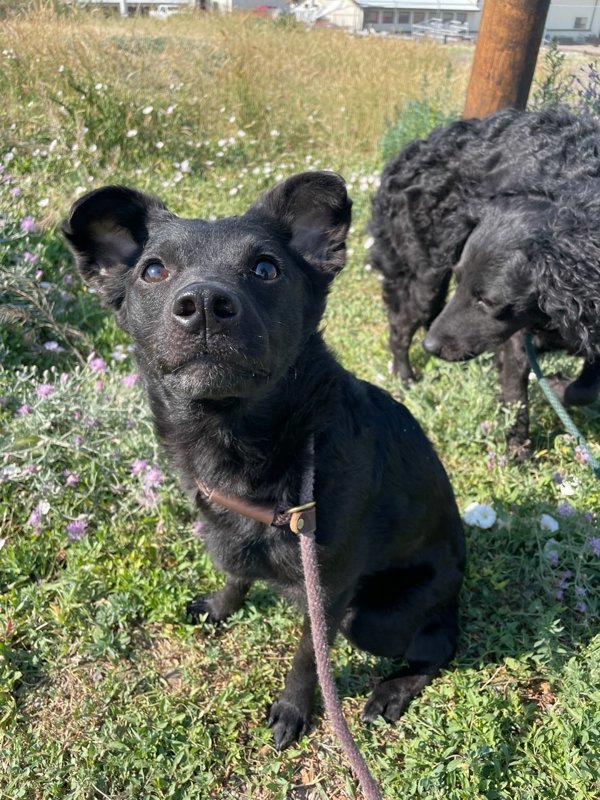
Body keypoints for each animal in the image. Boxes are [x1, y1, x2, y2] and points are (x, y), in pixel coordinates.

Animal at [62, 173, 464, 752]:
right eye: (153, 270)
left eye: (266, 269)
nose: (205, 303)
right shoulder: (227, 535)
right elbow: (235, 573)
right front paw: (219, 608)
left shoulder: (329, 591)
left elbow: (307, 659)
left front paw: (293, 710)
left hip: (371, 618)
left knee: (440, 645)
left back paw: (392, 690)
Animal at [370, 104, 600, 450]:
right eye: (460, 278)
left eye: (488, 301)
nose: (431, 347)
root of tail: (407, 154)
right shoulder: (520, 338)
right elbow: (517, 401)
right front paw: (517, 454)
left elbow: (586, 389)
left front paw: (557, 386)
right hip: (426, 281)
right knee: (399, 330)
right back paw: (405, 379)